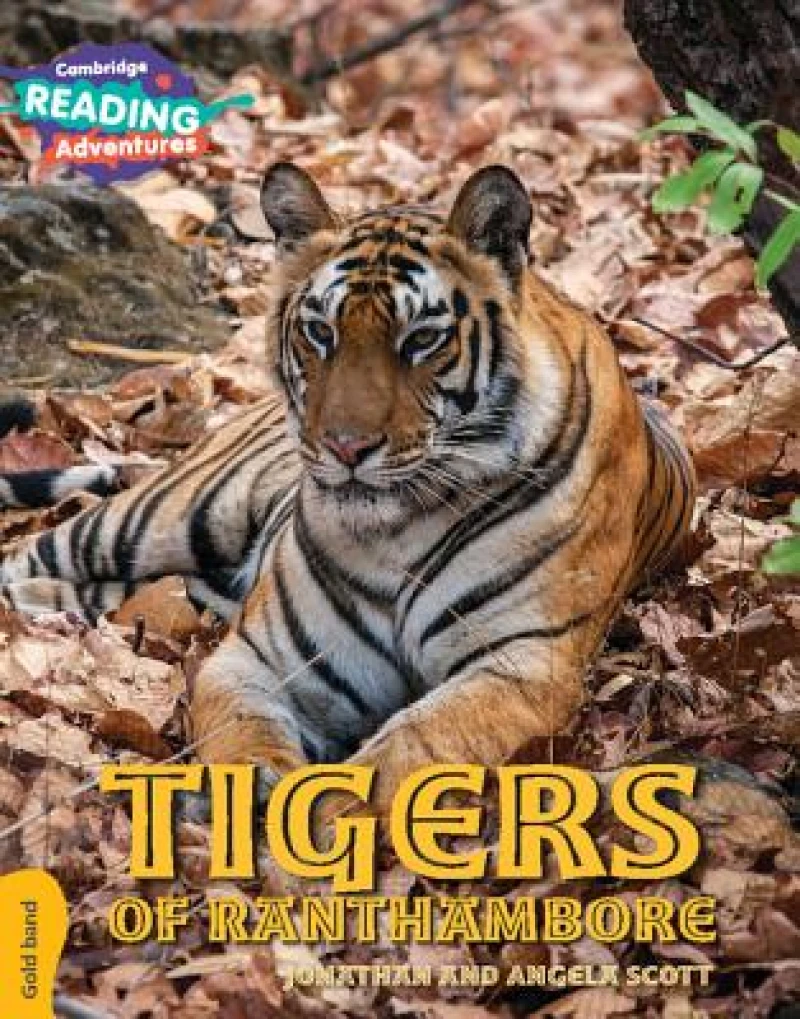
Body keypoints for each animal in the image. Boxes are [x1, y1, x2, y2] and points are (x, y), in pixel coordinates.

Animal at [0, 163, 695, 810]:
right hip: (169, 516)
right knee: (29, 553)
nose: (345, 447)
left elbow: (412, 749)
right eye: (320, 332)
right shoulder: (259, 657)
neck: (397, 531)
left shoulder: (521, 664)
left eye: (422, 339)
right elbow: (242, 732)